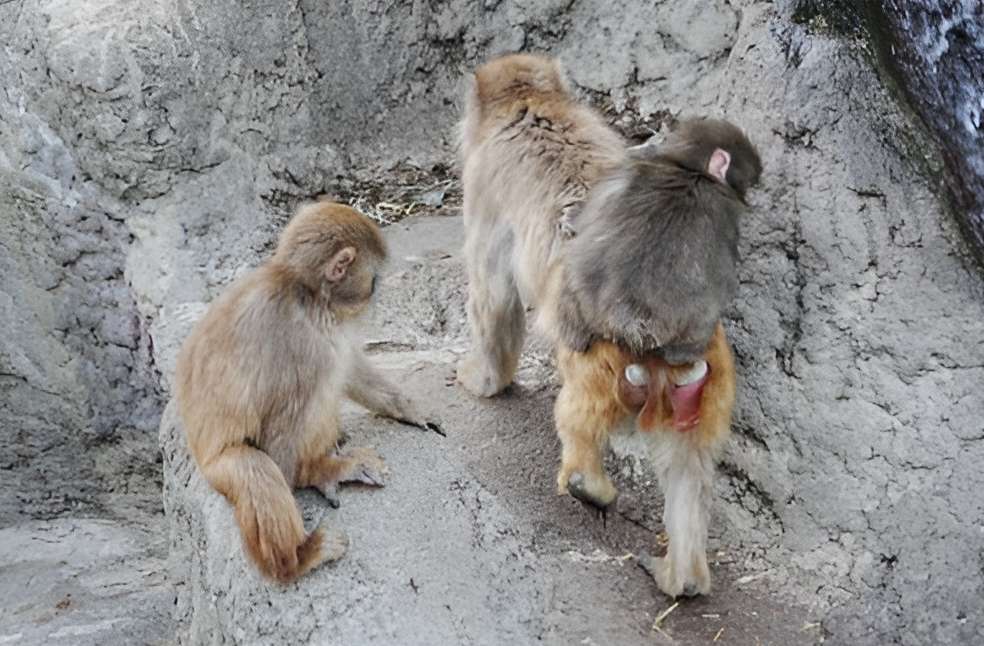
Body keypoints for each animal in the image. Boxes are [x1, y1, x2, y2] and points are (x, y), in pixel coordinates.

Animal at [175, 202, 433, 584]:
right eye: (373, 280)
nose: (375, 292)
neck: (307, 293)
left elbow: (349, 366)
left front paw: (407, 407)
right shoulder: (304, 345)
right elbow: (276, 446)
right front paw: (320, 472)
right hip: (217, 467)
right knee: (257, 467)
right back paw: (299, 557)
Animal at [456, 53, 762, 598]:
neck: (534, 105)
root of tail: (659, 342)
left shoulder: (485, 186)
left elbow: (493, 297)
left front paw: (484, 380)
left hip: (597, 361)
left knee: (577, 412)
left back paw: (586, 482)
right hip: (709, 384)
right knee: (689, 467)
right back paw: (682, 575)